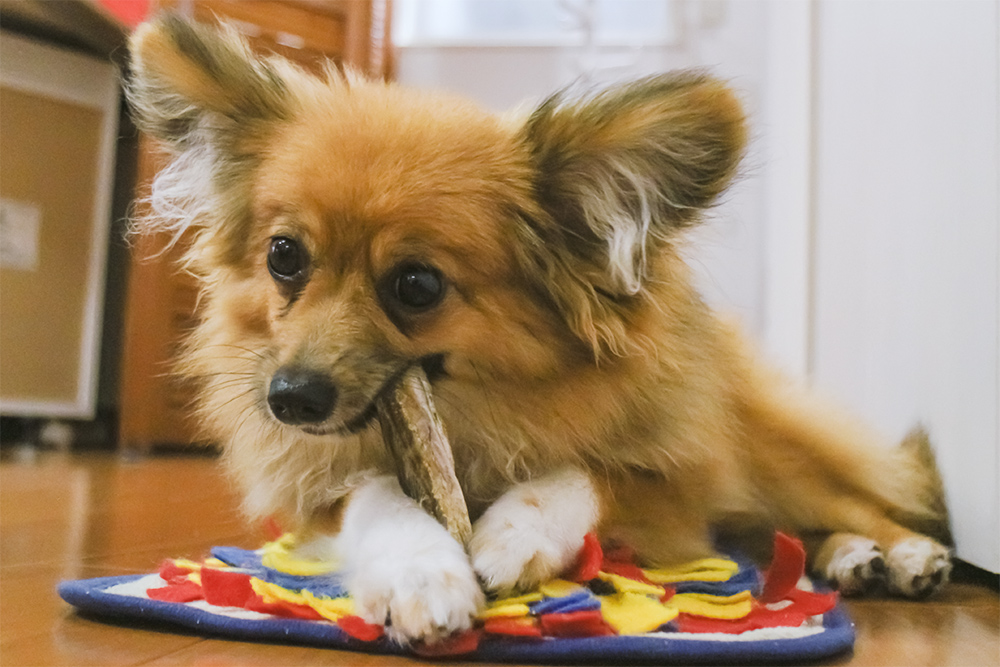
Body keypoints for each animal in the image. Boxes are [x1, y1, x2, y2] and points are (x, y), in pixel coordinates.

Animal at [127, 14, 952, 640]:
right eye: (285, 257)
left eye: (417, 285)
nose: (289, 397)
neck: (476, 413)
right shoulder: (318, 489)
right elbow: (376, 493)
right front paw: (421, 569)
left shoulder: (678, 487)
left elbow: (583, 471)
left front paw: (514, 532)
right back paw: (851, 557)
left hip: (770, 457)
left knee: (855, 503)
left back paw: (901, 550)